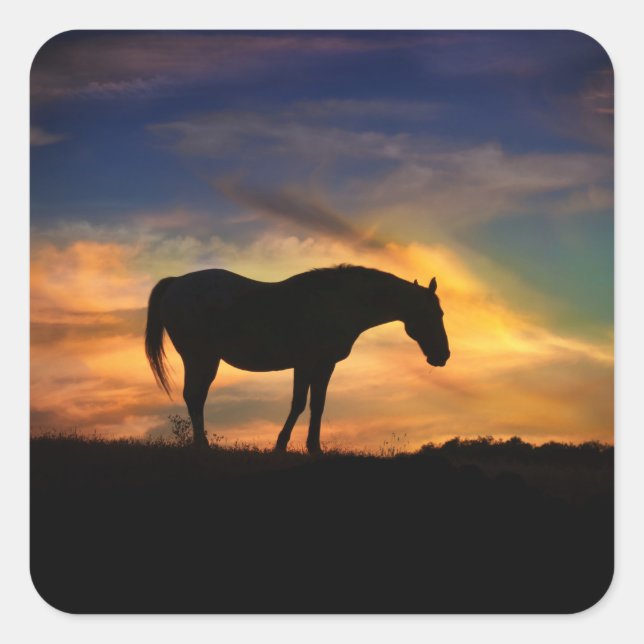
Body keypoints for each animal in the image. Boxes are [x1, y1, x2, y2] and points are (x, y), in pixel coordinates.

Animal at [145, 265, 450, 453]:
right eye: (433, 314)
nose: (443, 355)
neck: (337, 302)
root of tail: (176, 283)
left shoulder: (318, 365)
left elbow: (314, 405)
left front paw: (306, 447)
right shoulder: (311, 363)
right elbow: (303, 404)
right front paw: (290, 445)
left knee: (194, 397)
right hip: (201, 357)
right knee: (195, 397)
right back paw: (202, 446)